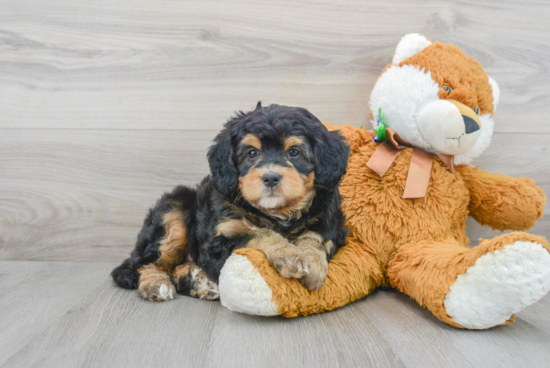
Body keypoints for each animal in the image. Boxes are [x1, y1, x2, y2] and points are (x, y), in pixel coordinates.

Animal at [112, 102, 352, 300]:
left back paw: (198, 281)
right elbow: (258, 234)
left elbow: (314, 238)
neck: (277, 213)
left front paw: (313, 263)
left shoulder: (330, 223)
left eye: (294, 152)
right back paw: (155, 284)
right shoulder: (219, 242)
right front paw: (289, 254)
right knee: (142, 264)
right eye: (252, 153)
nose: (270, 178)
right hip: (175, 207)